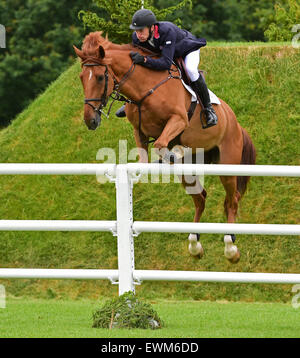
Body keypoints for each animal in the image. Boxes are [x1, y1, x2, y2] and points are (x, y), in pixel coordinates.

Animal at [74, 32, 255, 262]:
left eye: (99, 77)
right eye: (81, 78)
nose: (90, 120)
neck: (144, 88)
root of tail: (236, 124)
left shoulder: (178, 120)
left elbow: (161, 143)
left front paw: (173, 152)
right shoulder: (139, 131)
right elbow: (144, 157)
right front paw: (166, 156)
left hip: (228, 164)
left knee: (231, 201)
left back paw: (230, 248)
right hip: (190, 171)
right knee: (200, 199)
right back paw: (194, 244)